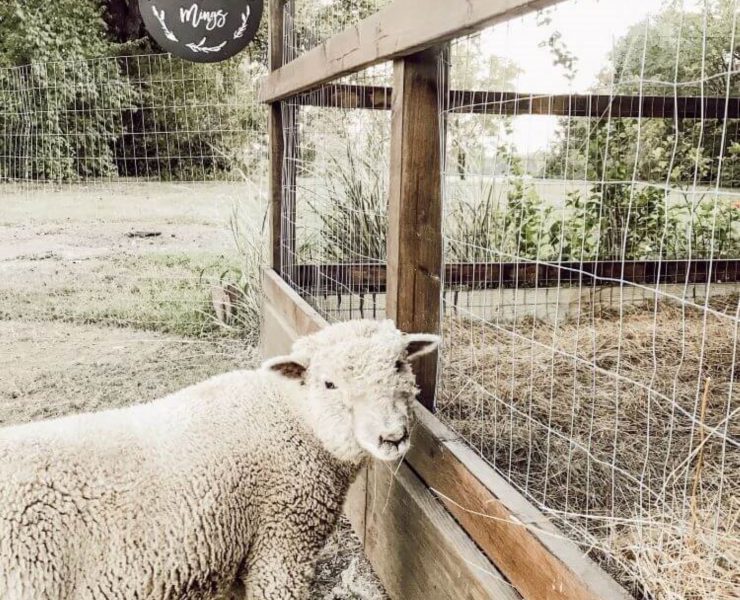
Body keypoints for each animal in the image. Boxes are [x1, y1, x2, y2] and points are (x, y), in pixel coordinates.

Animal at [0, 318, 440, 600]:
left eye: (399, 364)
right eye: (329, 384)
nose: (393, 437)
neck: (295, 419)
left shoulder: (237, 557)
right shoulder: (281, 544)